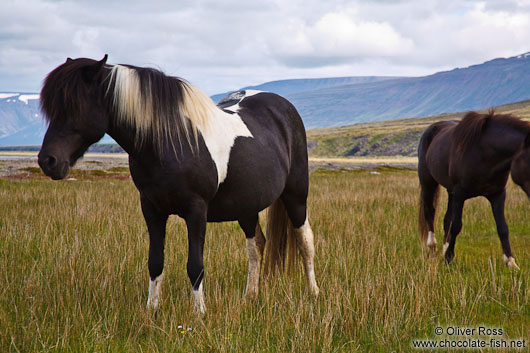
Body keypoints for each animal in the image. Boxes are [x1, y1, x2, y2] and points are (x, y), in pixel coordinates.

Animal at [38, 54, 318, 310]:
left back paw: (313, 293)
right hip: (246, 205)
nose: (47, 161)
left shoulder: (196, 211)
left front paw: (199, 314)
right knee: (257, 246)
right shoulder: (152, 209)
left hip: (295, 195)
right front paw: (152, 310)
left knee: (305, 241)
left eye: (74, 107)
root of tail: (283, 106)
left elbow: (195, 265)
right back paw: (250, 296)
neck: (170, 141)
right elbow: (155, 261)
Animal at [416, 110, 528, 266]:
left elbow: (502, 227)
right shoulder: (460, 193)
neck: (484, 154)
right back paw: (433, 246)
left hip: (450, 192)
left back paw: (444, 248)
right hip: (428, 183)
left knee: (446, 219)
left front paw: (511, 262)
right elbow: (456, 226)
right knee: (429, 212)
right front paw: (449, 258)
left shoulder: (498, 194)